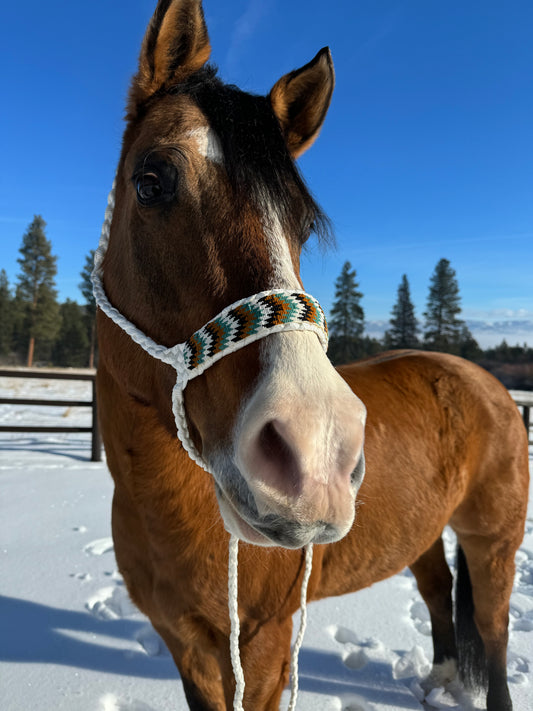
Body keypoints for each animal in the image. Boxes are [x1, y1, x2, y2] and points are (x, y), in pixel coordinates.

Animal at [94, 2, 528, 708]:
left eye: (299, 224)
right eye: (150, 182)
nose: (316, 451)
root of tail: (485, 383)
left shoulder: (266, 642)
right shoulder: (185, 643)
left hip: (494, 541)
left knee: (491, 632)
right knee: (437, 591)